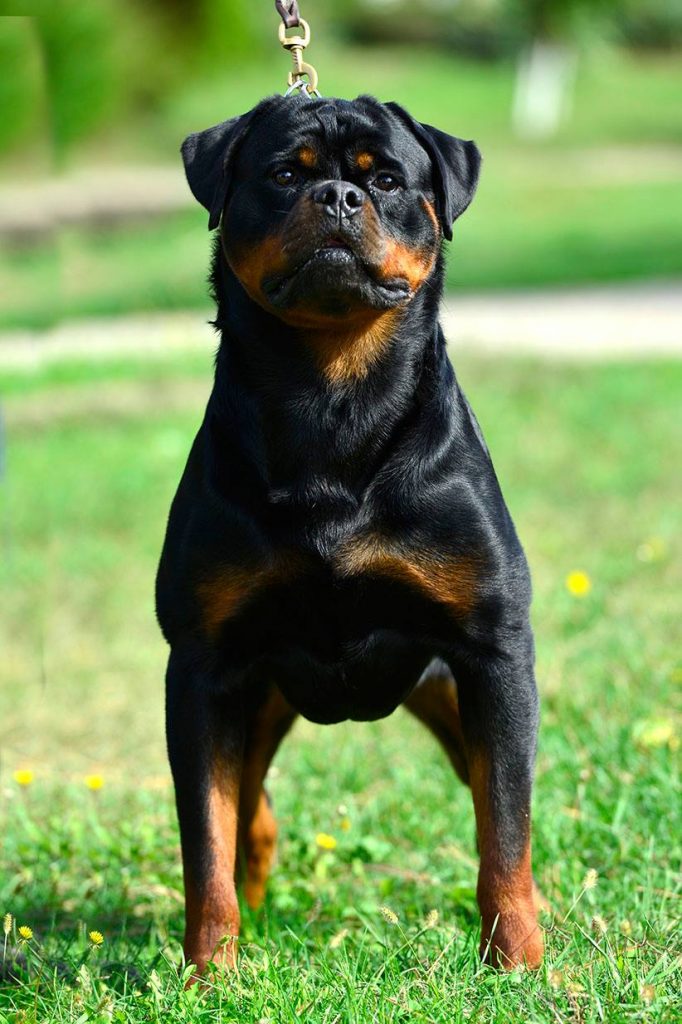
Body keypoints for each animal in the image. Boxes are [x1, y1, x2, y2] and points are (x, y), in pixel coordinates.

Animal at [153, 94, 540, 974]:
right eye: (283, 173)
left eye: (388, 179)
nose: (336, 197)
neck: (331, 399)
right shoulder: (200, 668)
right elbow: (204, 845)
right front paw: (209, 973)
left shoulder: (493, 654)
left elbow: (505, 834)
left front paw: (523, 965)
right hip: (255, 698)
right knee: (249, 814)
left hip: (448, 691)